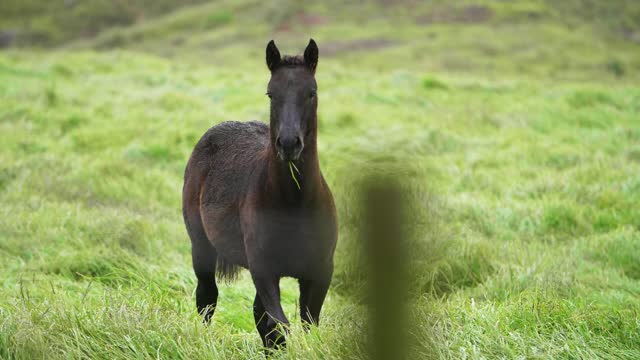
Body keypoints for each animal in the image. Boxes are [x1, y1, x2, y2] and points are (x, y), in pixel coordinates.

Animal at [181, 39, 338, 348]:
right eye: (270, 93)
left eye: (311, 92)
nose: (289, 144)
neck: (294, 203)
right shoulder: (264, 270)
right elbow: (279, 325)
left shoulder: (320, 272)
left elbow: (305, 325)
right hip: (201, 247)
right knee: (207, 298)